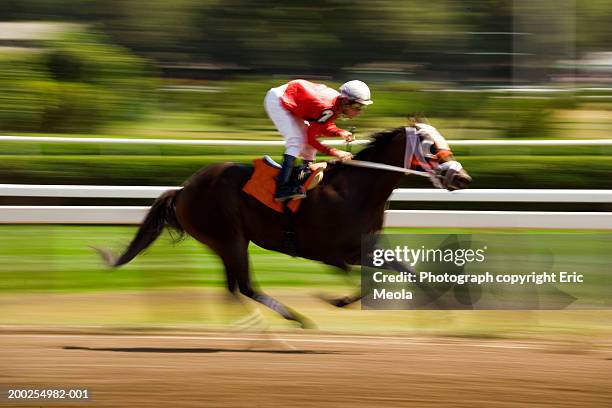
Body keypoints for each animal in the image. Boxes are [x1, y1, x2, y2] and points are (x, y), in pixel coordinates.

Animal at [97, 126, 468, 326]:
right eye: (431, 146)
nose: (462, 177)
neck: (355, 191)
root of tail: (183, 189)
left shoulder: (366, 248)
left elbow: (410, 272)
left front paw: (444, 308)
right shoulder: (331, 253)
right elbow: (361, 279)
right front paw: (332, 299)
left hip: (229, 241)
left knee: (233, 289)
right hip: (228, 237)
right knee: (245, 287)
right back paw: (293, 321)